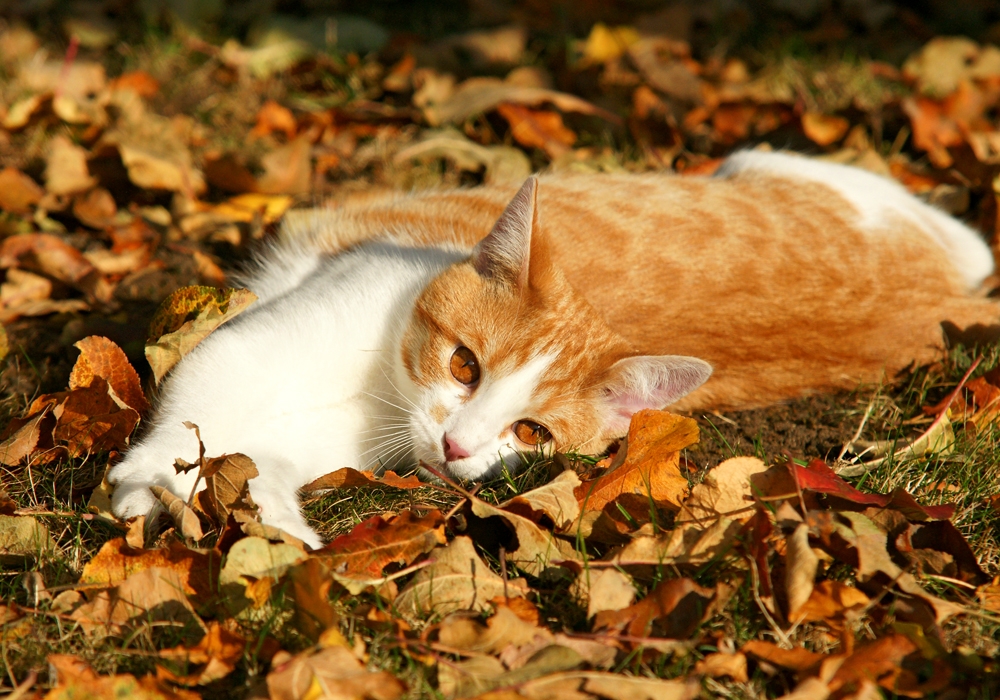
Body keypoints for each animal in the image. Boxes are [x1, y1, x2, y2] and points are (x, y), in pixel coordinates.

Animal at [105, 152, 996, 548]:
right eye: (465, 365)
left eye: (530, 433)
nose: (457, 444)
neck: (380, 395)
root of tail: (950, 302)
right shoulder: (256, 351)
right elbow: (200, 400)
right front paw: (152, 479)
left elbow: (252, 459)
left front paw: (272, 528)